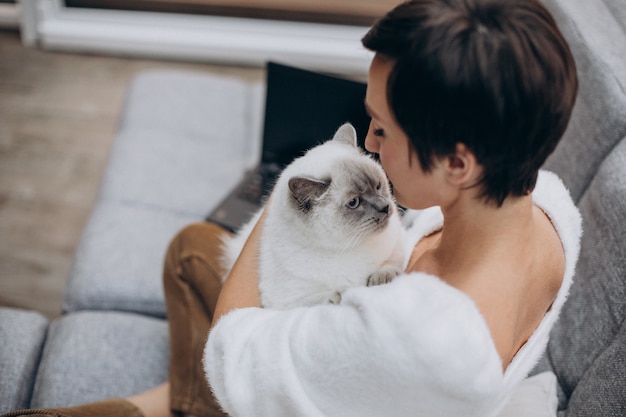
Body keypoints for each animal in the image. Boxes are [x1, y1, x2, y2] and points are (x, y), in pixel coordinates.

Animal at [219, 123, 404, 308]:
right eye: (354, 203)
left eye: (378, 186)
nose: (385, 207)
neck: (349, 245)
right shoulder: (286, 301)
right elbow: (320, 299)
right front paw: (342, 294)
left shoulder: (399, 243)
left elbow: (392, 263)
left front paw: (382, 278)